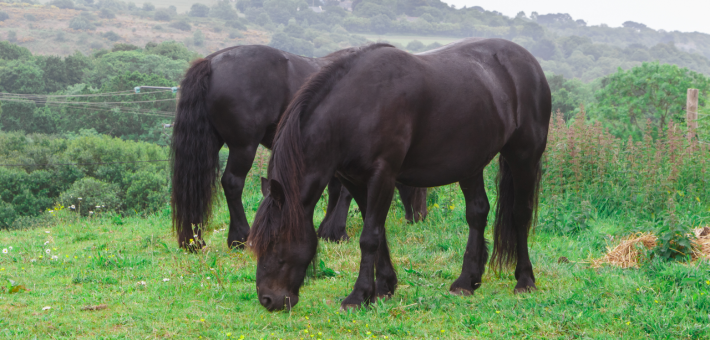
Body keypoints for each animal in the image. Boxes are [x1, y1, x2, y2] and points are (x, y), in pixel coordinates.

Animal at [172, 44, 428, 250]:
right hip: (243, 146)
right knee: (233, 183)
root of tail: (211, 62)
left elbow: (335, 189)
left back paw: (195, 241)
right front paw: (337, 232)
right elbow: (345, 192)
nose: (420, 217)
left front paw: (327, 231)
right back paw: (240, 237)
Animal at [250, 37, 556, 310]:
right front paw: (384, 286)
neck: (356, 107)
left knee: (520, 214)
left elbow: (369, 237)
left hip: (524, 157)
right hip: (471, 164)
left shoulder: (383, 176)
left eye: (275, 242)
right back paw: (466, 282)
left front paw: (358, 296)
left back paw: (524, 280)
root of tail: (529, 63)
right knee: (477, 213)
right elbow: (378, 232)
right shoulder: (357, 181)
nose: (268, 300)